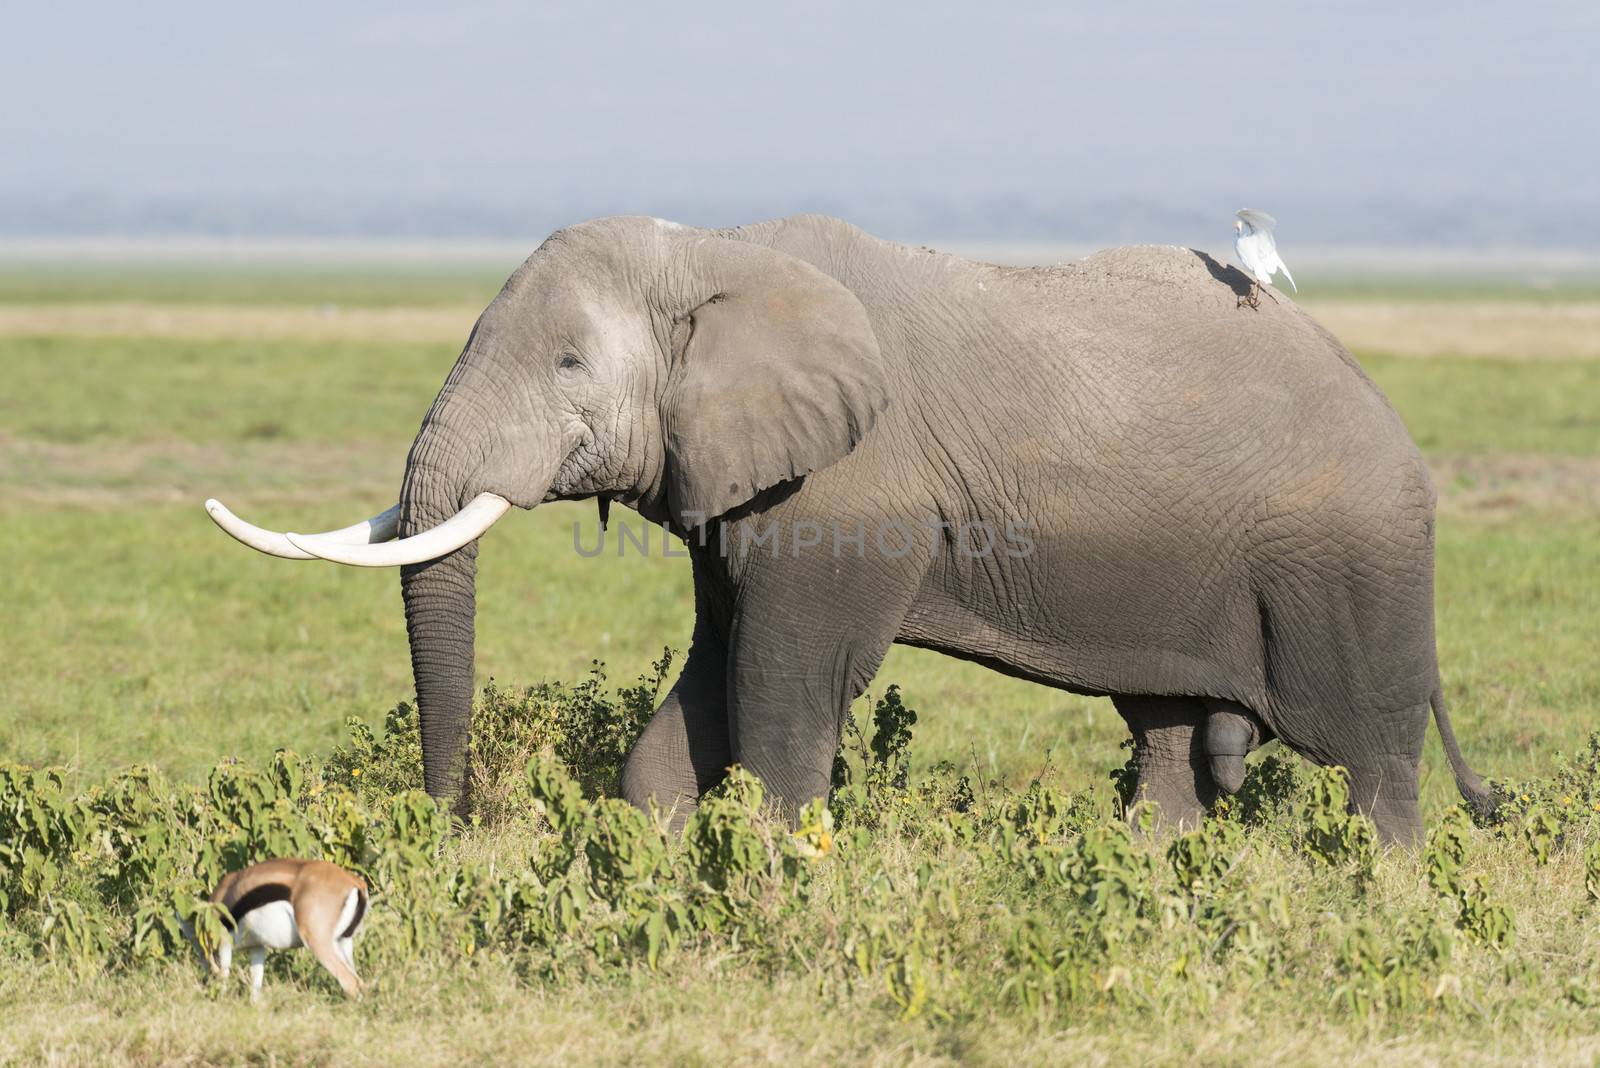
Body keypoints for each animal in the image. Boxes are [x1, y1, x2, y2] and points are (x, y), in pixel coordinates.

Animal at [188, 856, 369, 1004]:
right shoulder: (257, 947)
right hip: (343, 942)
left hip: (319, 943)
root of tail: (355, 883)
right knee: (359, 982)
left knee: (350, 982)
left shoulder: (224, 943)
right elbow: (255, 987)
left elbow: (224, 976)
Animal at [206, 211, 1491, 844]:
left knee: (1370, 759)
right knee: (1171, 743)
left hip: (1353, 562)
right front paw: (663, 861)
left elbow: (785, 686)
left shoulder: (850, 490)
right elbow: (705, 684)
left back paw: (1385, 890)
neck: (714, 251)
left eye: (569, 364)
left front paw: (773, 875)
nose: (439, 830)